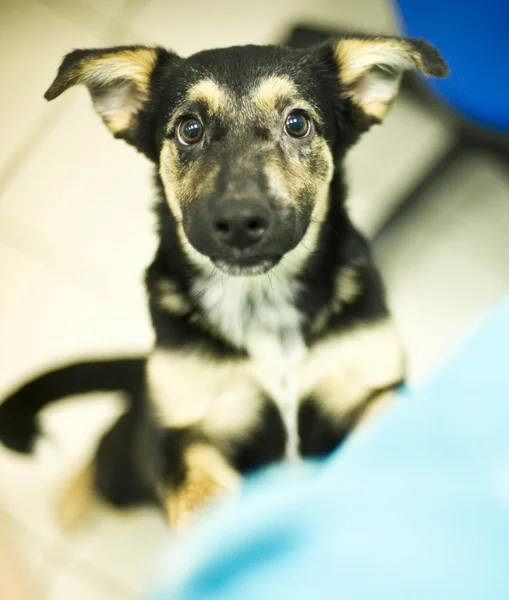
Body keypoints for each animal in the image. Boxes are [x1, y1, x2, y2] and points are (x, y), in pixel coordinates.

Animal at [0, 35, 444, 528]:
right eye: (189, 129)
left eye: (297, 123)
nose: (238, 222)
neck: (263, 301)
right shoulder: (180, 432)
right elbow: (201, 499)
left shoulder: (372, 387)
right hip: (132, 453)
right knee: (105, 455)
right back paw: (70, 501)